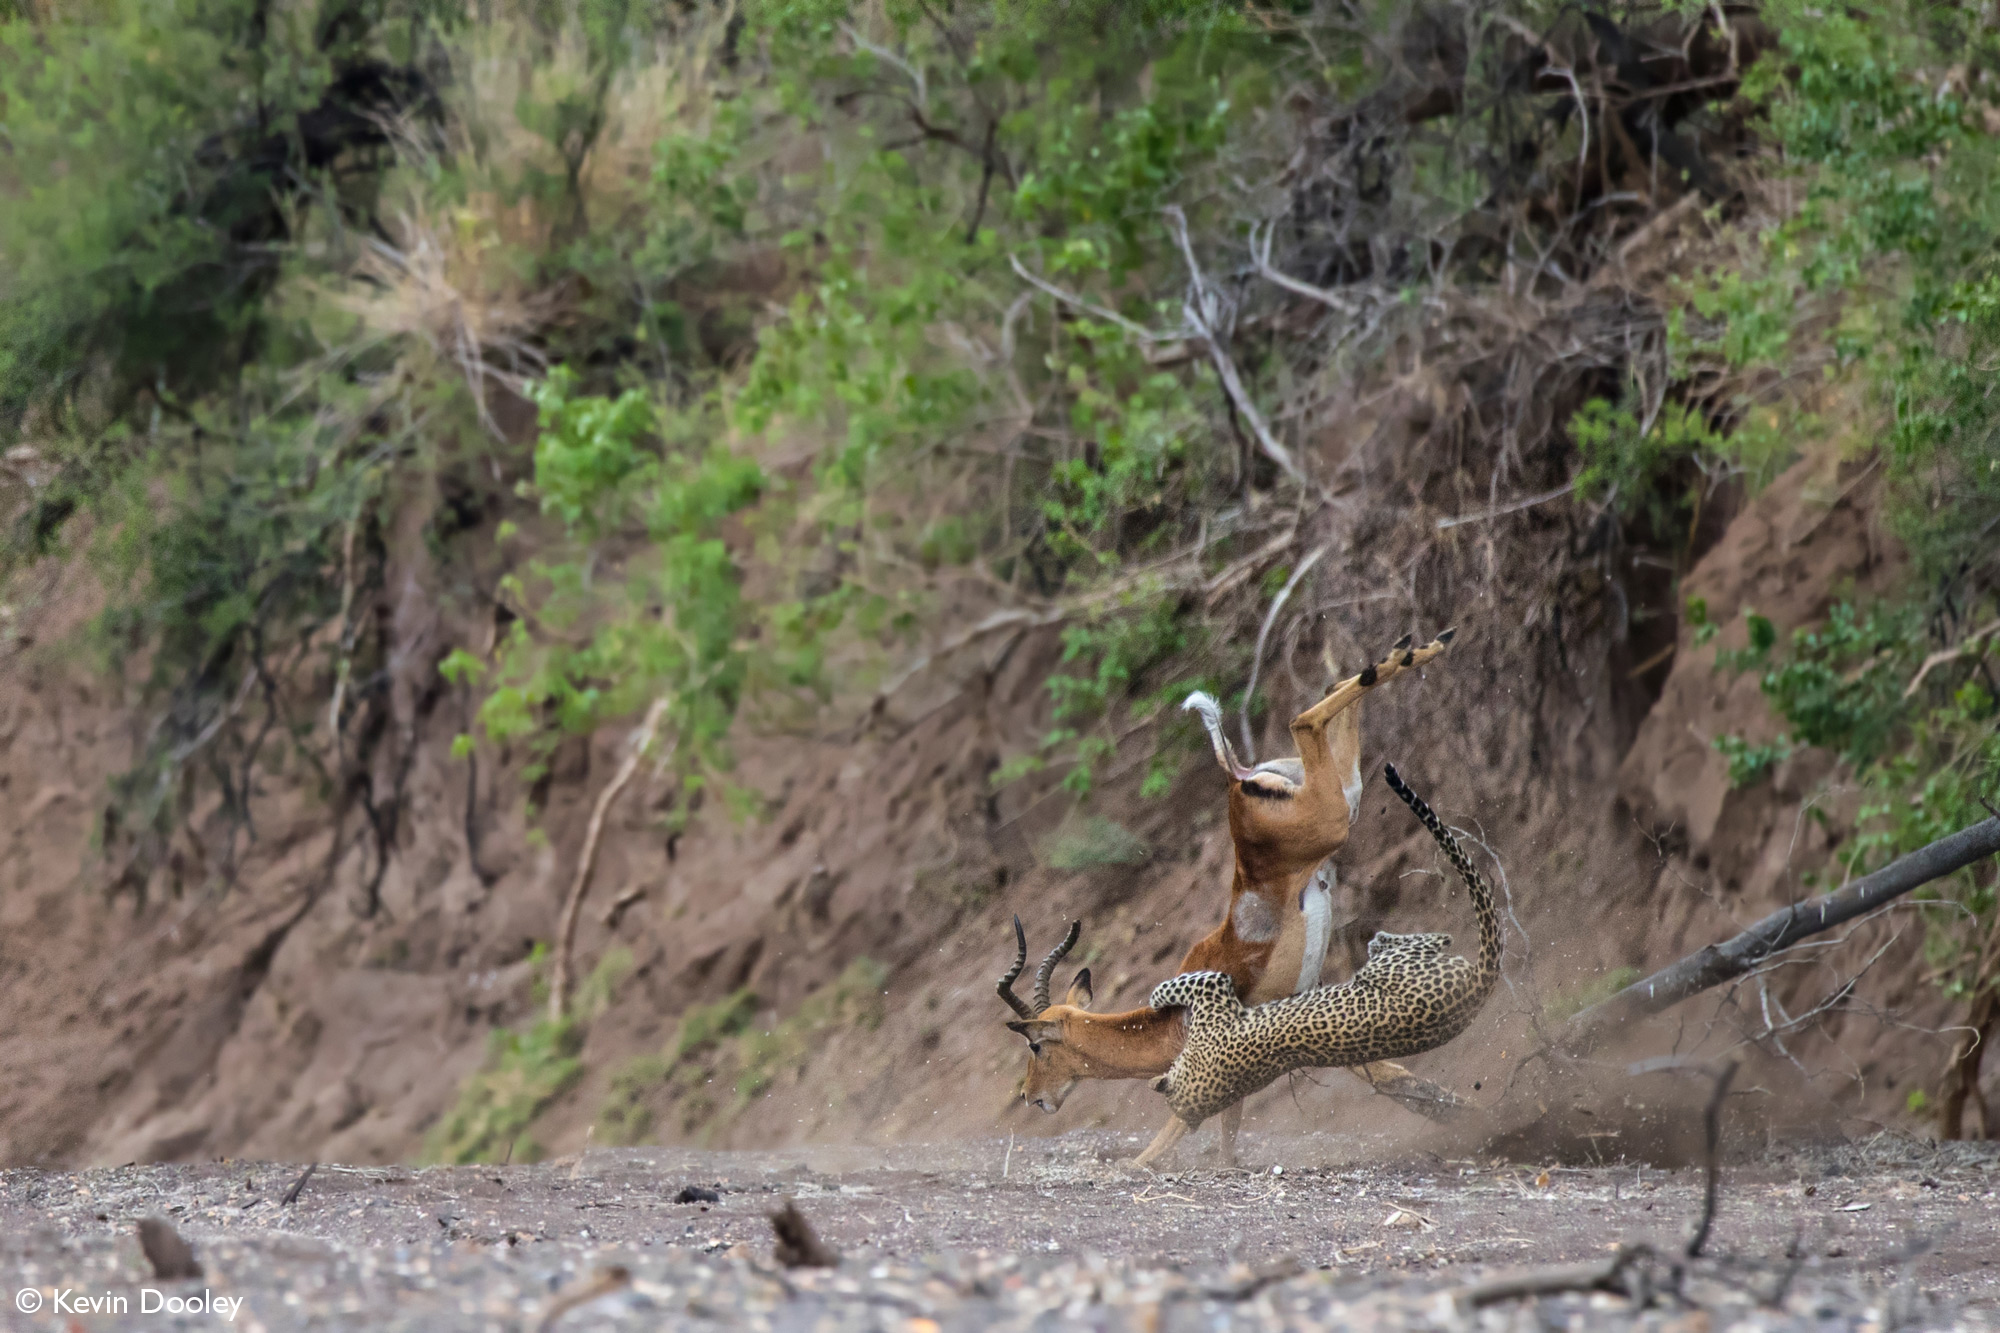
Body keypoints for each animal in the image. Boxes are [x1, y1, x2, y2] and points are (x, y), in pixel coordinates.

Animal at [1152, 756, 1496, 1120]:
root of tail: (1476, 986)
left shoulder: (1214, 994)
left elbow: (1184, 983)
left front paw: (1158, 996)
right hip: (1396, 968)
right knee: (1437, 939)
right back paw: (1379, 941)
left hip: (1391, 968)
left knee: (1435, 938)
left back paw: (1378, 940)